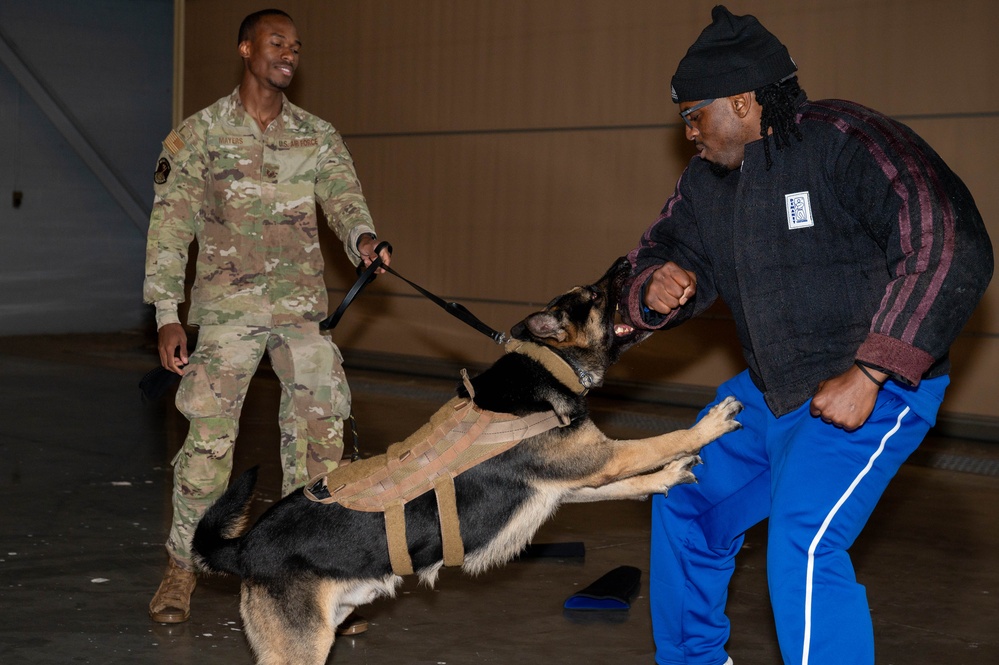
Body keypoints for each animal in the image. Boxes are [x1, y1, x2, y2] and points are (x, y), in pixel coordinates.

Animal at [195, 256, 744, 660]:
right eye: (594, 295)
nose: (627, 262)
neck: (548, 363)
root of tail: (244, 548)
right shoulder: (601, 458)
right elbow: (661, 440)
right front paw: (708, 426)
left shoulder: (575, 480)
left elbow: (636, 479)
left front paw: (670, 475)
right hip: (298, 650)